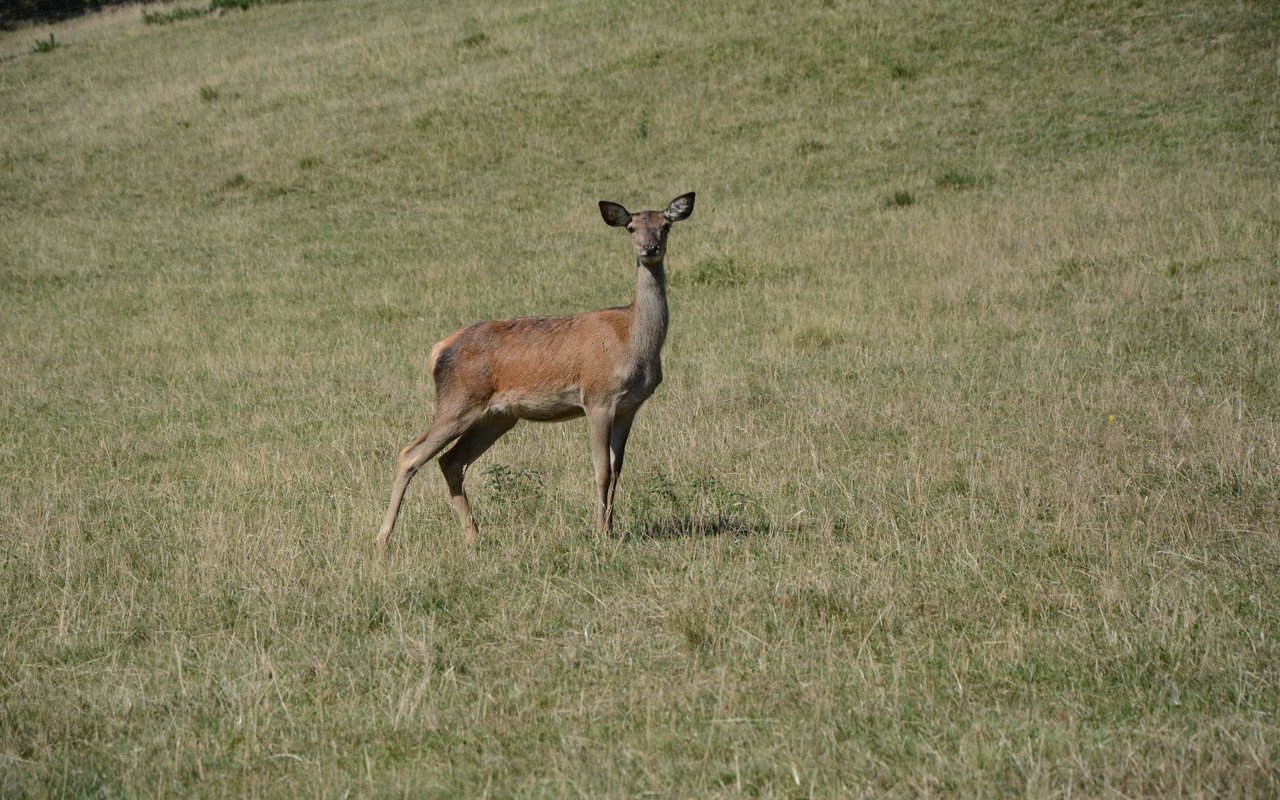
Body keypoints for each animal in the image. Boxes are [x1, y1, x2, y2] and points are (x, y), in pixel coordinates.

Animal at [376, 193, 701, 555]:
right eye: (631, 227)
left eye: (665, 225)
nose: (649, 248)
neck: (633, 340)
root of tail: (438, 350)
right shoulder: (598, 397)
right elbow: (602, 470)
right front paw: (599, 534)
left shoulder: (629, 407)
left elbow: (618, 471)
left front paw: (611, 528)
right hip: (458, 401)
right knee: (410, 454)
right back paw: (383, 538)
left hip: (497, 416)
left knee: (451, 461)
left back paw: (474, 536)